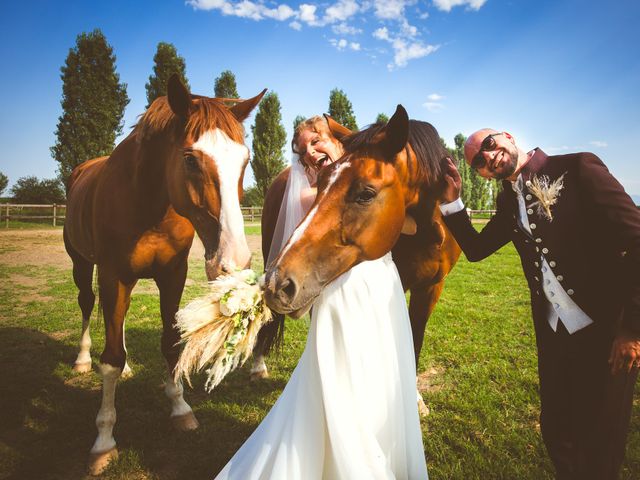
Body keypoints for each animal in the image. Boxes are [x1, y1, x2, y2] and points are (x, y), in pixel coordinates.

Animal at [63, 76, 264, 476]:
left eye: (245, 160)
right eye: (189, 158)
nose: (233, 260)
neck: (146, 202)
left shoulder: (173, 275)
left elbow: (169, 343)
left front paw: (180, 409)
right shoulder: (112, 274)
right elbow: (110, 359)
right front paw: (103, 442)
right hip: (84, 265)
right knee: (88, 306)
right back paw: (82, 360)